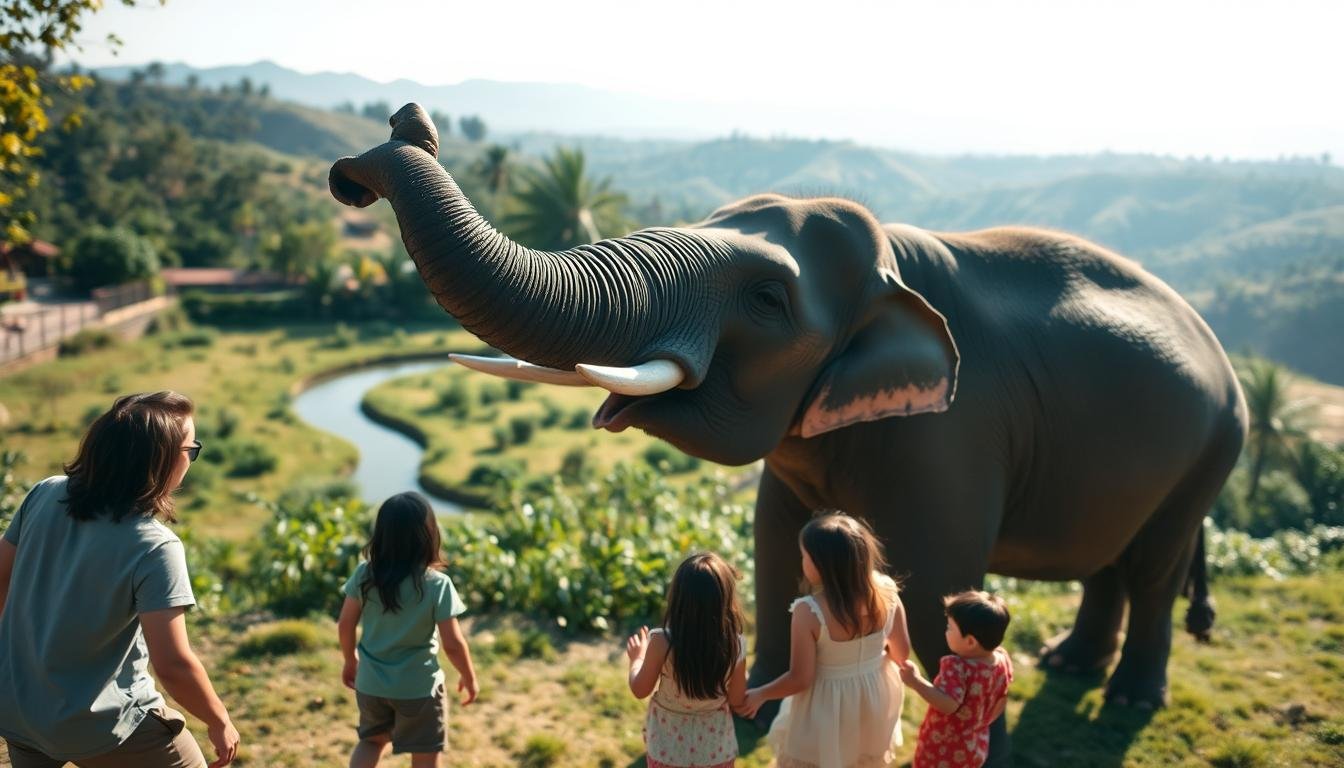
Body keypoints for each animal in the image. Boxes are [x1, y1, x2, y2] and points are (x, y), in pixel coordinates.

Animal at [329, 104, 1248, 759]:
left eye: (769, 299)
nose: (391, 139)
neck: (896, 265)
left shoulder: (952, 429)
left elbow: (939, 579)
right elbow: (774, 542)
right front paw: (753, 709)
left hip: (1214, 447)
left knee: (1153, 566)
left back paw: (1127, 697)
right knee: (1114, 561)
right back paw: (1071, 665)